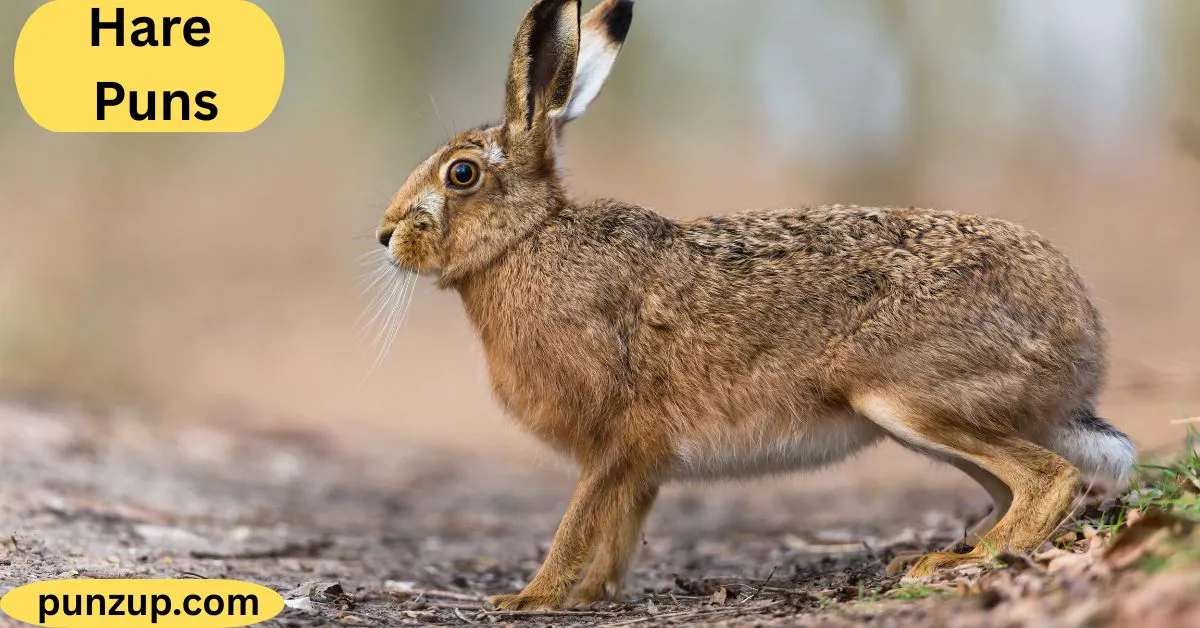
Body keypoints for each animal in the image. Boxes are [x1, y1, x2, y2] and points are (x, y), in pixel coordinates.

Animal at [374, 0, 1136, 611]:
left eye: (461, 174)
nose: (385, 235)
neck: (527, 239)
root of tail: (1082, 336)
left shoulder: (613, 441)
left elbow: (579, 522)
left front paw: (529, 598)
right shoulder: (638, 465)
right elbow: (620, 529)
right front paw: (597, 593)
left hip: (908, 392)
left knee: (1049, 480)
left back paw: (961, 560)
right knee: (1016, 482)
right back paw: (941, 551)